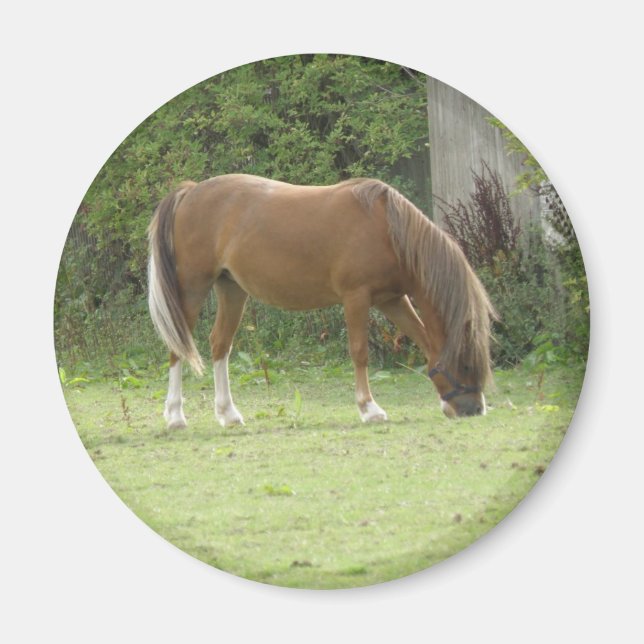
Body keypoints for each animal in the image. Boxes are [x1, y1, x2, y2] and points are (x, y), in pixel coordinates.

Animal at [148, 174, 495, 428]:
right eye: (466, 363)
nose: (474, 409)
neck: (387, 230)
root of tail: (191, 192)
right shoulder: (356, 298)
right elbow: (359, 352)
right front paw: (369, 409)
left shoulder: (393, 300)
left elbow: (423, 339)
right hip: (193, 288)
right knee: (178, 346)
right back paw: (175, 416)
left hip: (231, 289)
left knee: (220, 343)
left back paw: (228, 414)